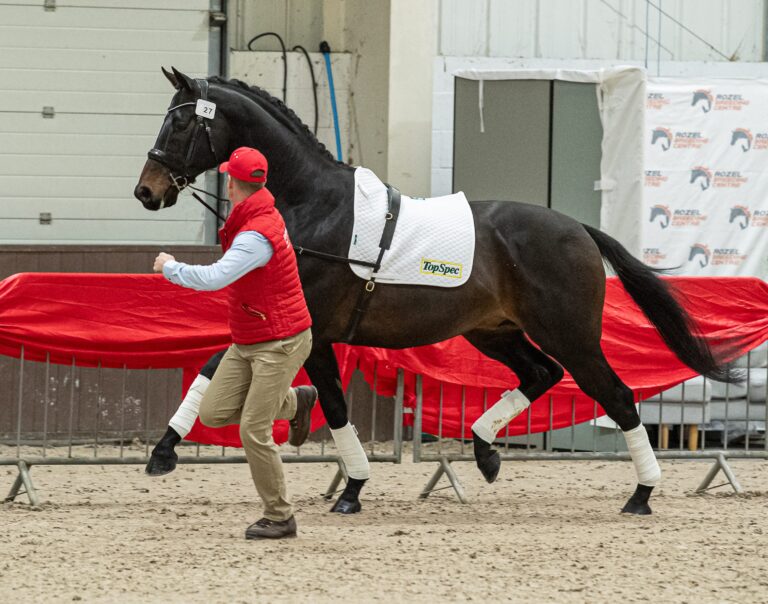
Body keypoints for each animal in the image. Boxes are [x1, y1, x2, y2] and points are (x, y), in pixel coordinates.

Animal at [134, 67, 737, 516]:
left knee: (617, 396)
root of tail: (578, 229)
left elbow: (311, 397)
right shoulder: (304, 333)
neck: (315, 206)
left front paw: (164, 453)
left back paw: (641, 495)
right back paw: (486, 451)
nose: (146, 191)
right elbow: (272, 386)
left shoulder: (312, 330)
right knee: (541, 374)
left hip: (571, 336)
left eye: (181, 125)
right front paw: (350, 487)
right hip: (493, 333)